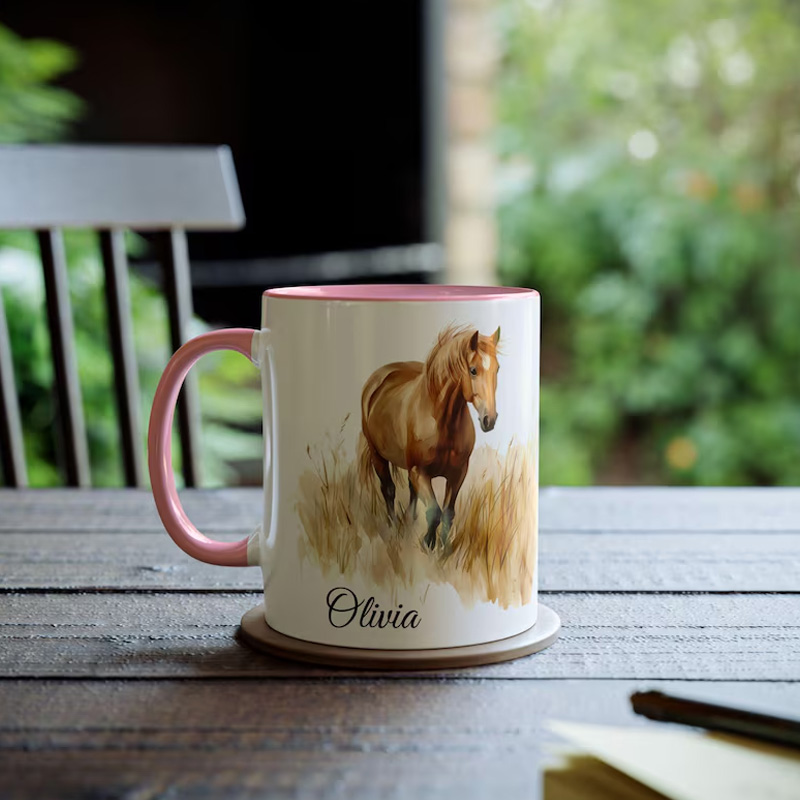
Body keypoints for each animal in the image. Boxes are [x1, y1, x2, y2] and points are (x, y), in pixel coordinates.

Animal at [359, 325, 501, 553]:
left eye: (497, 369)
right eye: (473, 370)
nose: (490, 419)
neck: (442, 423)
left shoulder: (458, 473)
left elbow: (448, 513)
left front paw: (445, 549)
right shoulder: (421, 472)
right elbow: (434, 512)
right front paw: (428, 545)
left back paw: (409, 523)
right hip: (377, 455)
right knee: (388, 489)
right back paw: (392, 527)